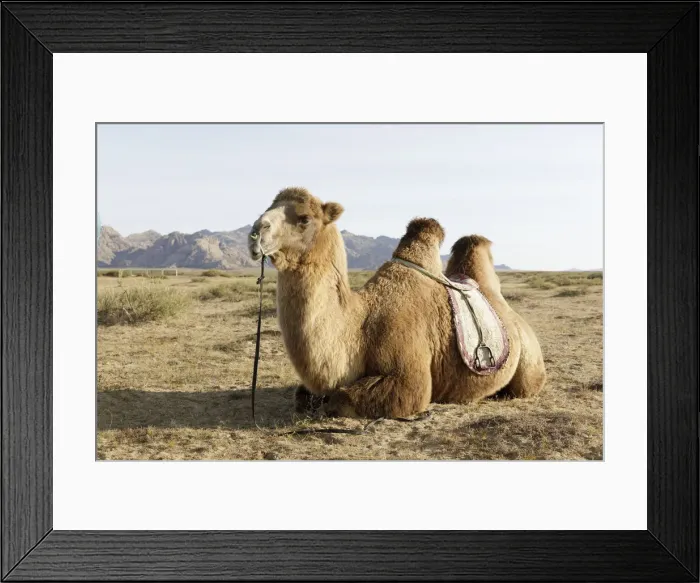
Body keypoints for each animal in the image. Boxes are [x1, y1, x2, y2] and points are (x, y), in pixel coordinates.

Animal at [248, 187, 546, 419]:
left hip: (529, 363)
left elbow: (342, 398)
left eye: (304, 218)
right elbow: (302, 396)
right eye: (268, 208)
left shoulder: (409, 378)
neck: (360, 326)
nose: (255, 232)